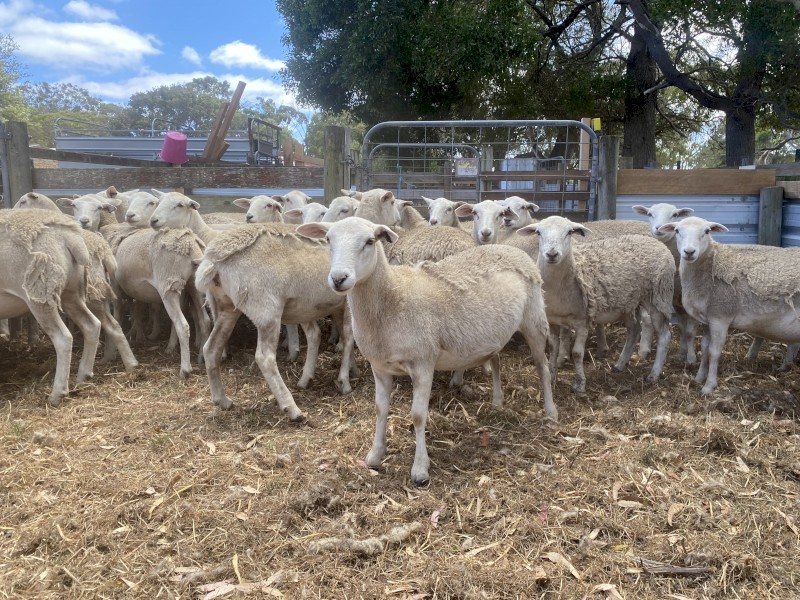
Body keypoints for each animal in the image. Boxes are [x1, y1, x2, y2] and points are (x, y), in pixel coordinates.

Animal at [0, 208, 102, 405]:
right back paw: (84, 376)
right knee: (92, 325)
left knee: (63, 338)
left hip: (40, 294)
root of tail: (70, 238)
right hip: (71, 292)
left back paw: (57, 394)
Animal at [194, 223, 356, 418]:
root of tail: (213, 259)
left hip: (226, 307)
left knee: (211, 349)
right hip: (267, 310)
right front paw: (345, 380)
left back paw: (222, 400)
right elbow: (349, 336)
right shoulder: (349, 302)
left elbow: (329, 334)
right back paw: (292, 408)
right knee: (265, 357)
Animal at [297, 216, 556, 486]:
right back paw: (497, 402)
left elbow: (418, 415)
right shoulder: (379, 367)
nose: (339, 278)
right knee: (495, 361)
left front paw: (420, 470)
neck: (393, 297)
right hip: (495, 332)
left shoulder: (423, 364)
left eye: (369, 241)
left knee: (543, 368)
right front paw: (375, 455)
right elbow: (380, 409)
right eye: (328, 239)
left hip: (535, 319)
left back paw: (550, 413)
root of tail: (510, 248)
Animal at [517, 216, 675, 395]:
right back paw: (620, 364)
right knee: (634, 329)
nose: (552, 254)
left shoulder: (582, 321)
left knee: (664, 335)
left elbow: (577, 353)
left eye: (569, 232)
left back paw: (654, 374)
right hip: (629, 303)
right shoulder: (552, 321)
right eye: (538, 232)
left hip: (659, 297)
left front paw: (579, 384)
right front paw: (551, 376)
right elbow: (553, 348)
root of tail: (656, 242)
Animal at [658, 216, 800, 395]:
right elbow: (705, 348)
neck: (711, 265)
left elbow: (714, 352)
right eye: (677, 230)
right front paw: (699, 378)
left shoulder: (721, 317)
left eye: (707, 231)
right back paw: (784, 367)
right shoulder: (709, 319)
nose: (689, 252)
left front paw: (709, 386)